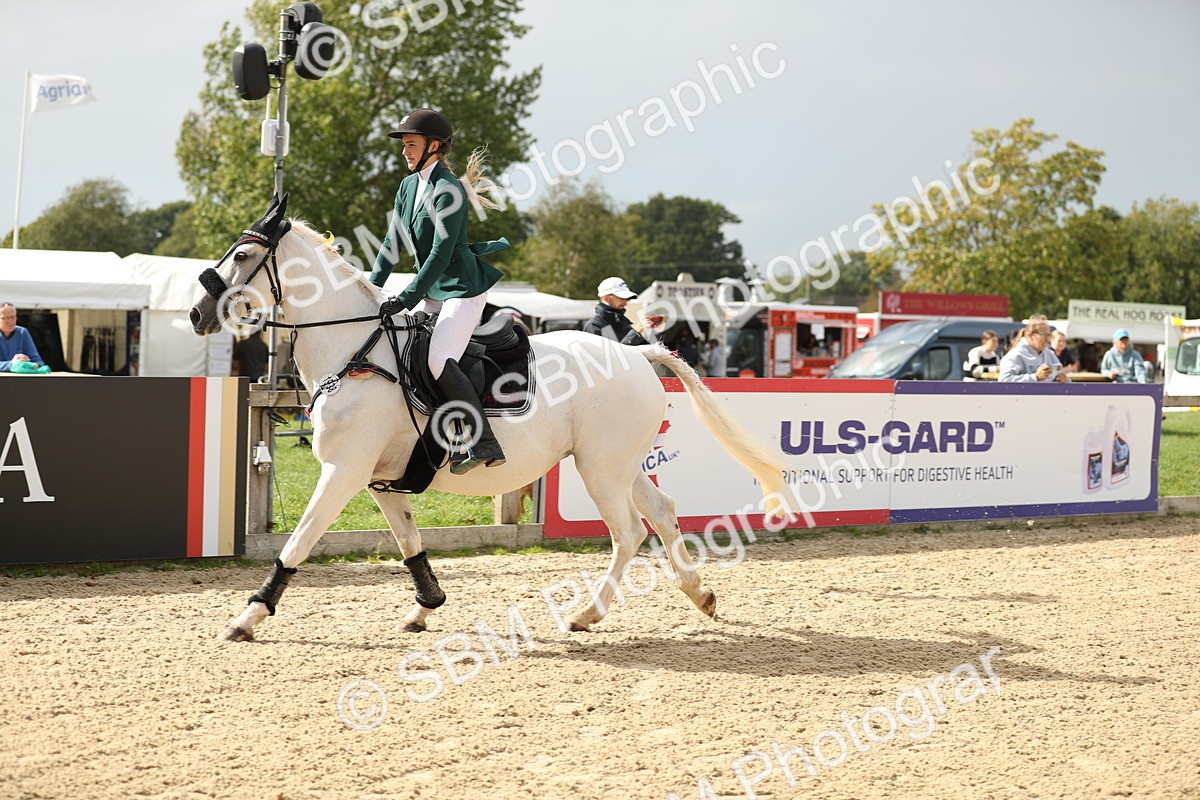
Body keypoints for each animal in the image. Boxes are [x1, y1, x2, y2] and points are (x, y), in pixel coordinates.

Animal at [190, 197, 790, 641]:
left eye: (242, 255)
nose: (197, 315)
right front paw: (425, 607)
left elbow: (299, 542)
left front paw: (248, 616)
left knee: (628, 533)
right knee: (662, 513)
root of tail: (635, 354)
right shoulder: (378, 479)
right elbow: (410, 543)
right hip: (620, 465)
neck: (355, 351)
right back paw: (700, 595)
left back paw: (586, 614)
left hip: (600, 469)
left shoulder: (343, 471)